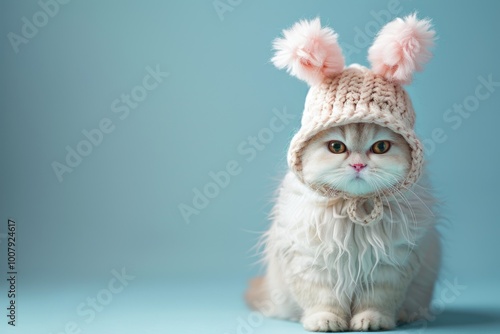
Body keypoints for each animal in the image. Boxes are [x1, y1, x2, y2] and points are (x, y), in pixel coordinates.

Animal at [248, 123, 440, 332]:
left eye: (381, 147)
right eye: (336, 147)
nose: (358, 165)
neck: (354, 210)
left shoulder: (389, 266)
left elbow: (376, 302)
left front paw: (371, 320)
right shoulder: (312, 262)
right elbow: (323, 300)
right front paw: (325, 321)